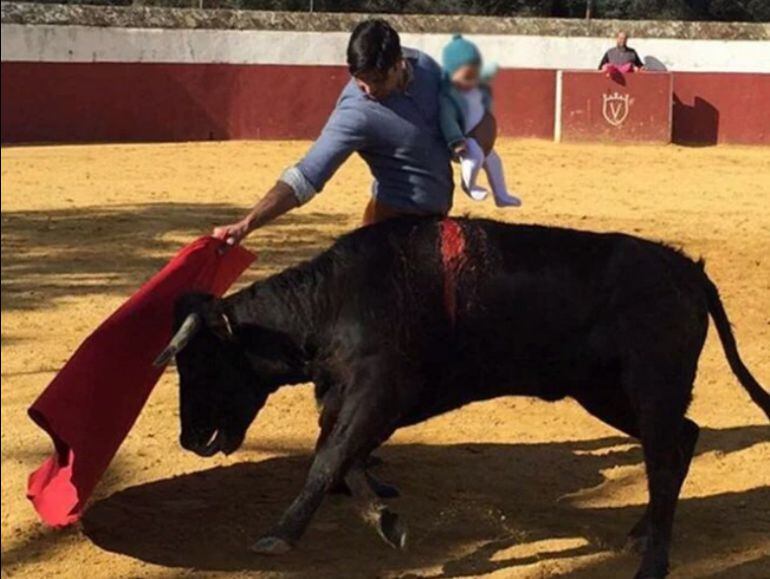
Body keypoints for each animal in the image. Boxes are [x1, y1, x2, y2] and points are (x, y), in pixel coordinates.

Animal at [156, 219, 768, 579]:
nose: (187, 438)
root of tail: (687, 270)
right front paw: (386, 519)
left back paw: (654, 561)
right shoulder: (356, 399)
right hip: (604, 392)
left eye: (202, 361)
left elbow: (329, 459)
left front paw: (280, 536)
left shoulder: (379, 391)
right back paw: (642, 533)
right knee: (681, 439)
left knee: (664, 457)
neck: (334, 303)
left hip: (649, 387)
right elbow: (341, 457)